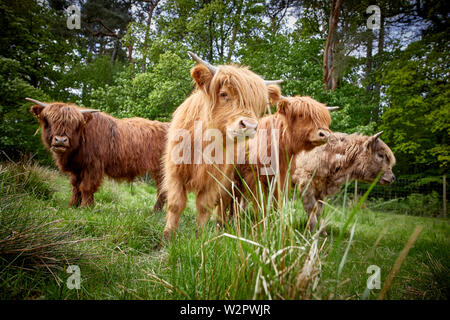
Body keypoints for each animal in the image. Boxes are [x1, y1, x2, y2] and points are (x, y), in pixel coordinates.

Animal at [27, 99, 169, 211]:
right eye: (48, 121)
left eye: (75, 125)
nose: (61, 140)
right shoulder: (77, 168)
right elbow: (76, 187)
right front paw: (73, 205)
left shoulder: (93, 165)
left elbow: (86, 186)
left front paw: (86, 207)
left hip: (161, 169)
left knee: (163, 190)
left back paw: (155, 211)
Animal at [162, 51, 282, 239]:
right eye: (224, 94)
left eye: (258, 104)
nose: (249, 126)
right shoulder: (175, 172)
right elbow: (175, 204)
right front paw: (167, 237)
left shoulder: (214, 178)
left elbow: (204, 206)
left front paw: (200, 237)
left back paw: (224, 224)